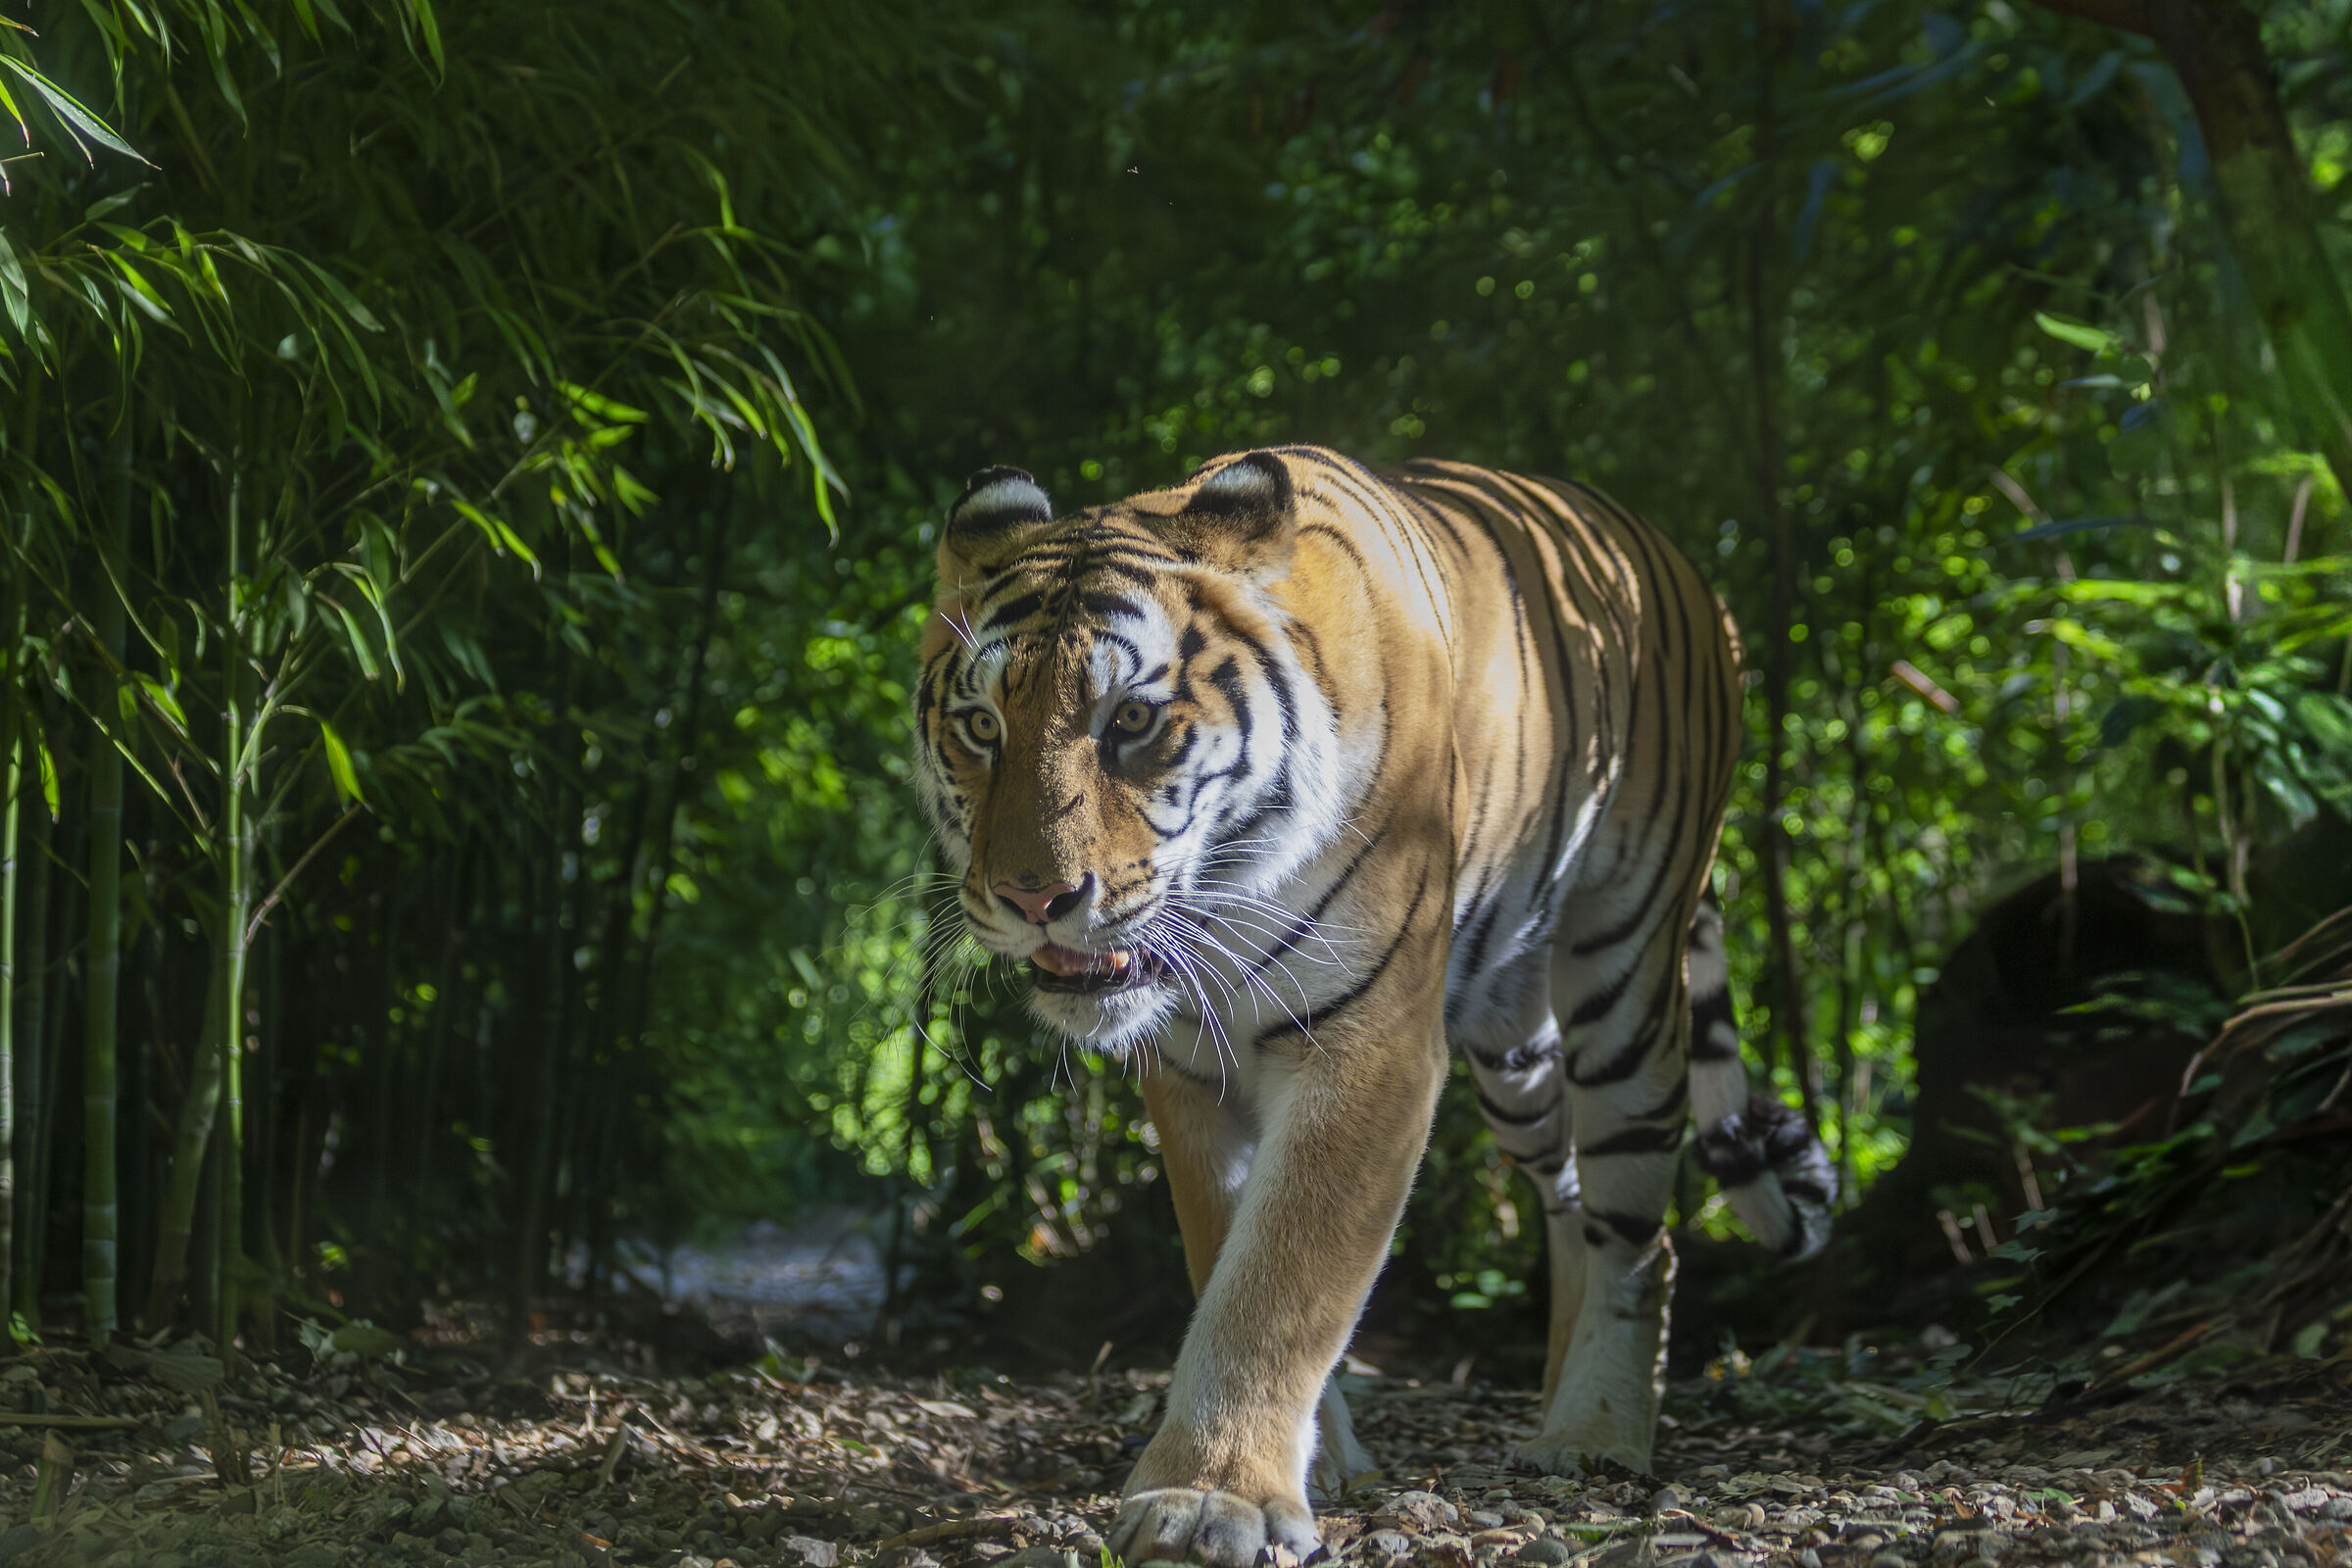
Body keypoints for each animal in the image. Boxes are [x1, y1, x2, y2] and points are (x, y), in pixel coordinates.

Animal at [912, 446, 1833, 1567]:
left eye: (1129, 720)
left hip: (1624, 975)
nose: (1032, 898)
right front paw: (1314, 1463)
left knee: (1638, 1234)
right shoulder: (1188, 1071)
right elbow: (1226, 1253)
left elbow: (1282, 1281)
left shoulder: (1371, 1050)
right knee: (1566, 1196)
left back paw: (1597, 1431)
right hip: (1513, 1048)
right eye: (981, 727)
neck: (1227, 901)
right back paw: (1557, 1397)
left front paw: (1210, 1496)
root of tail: (1665, 550)